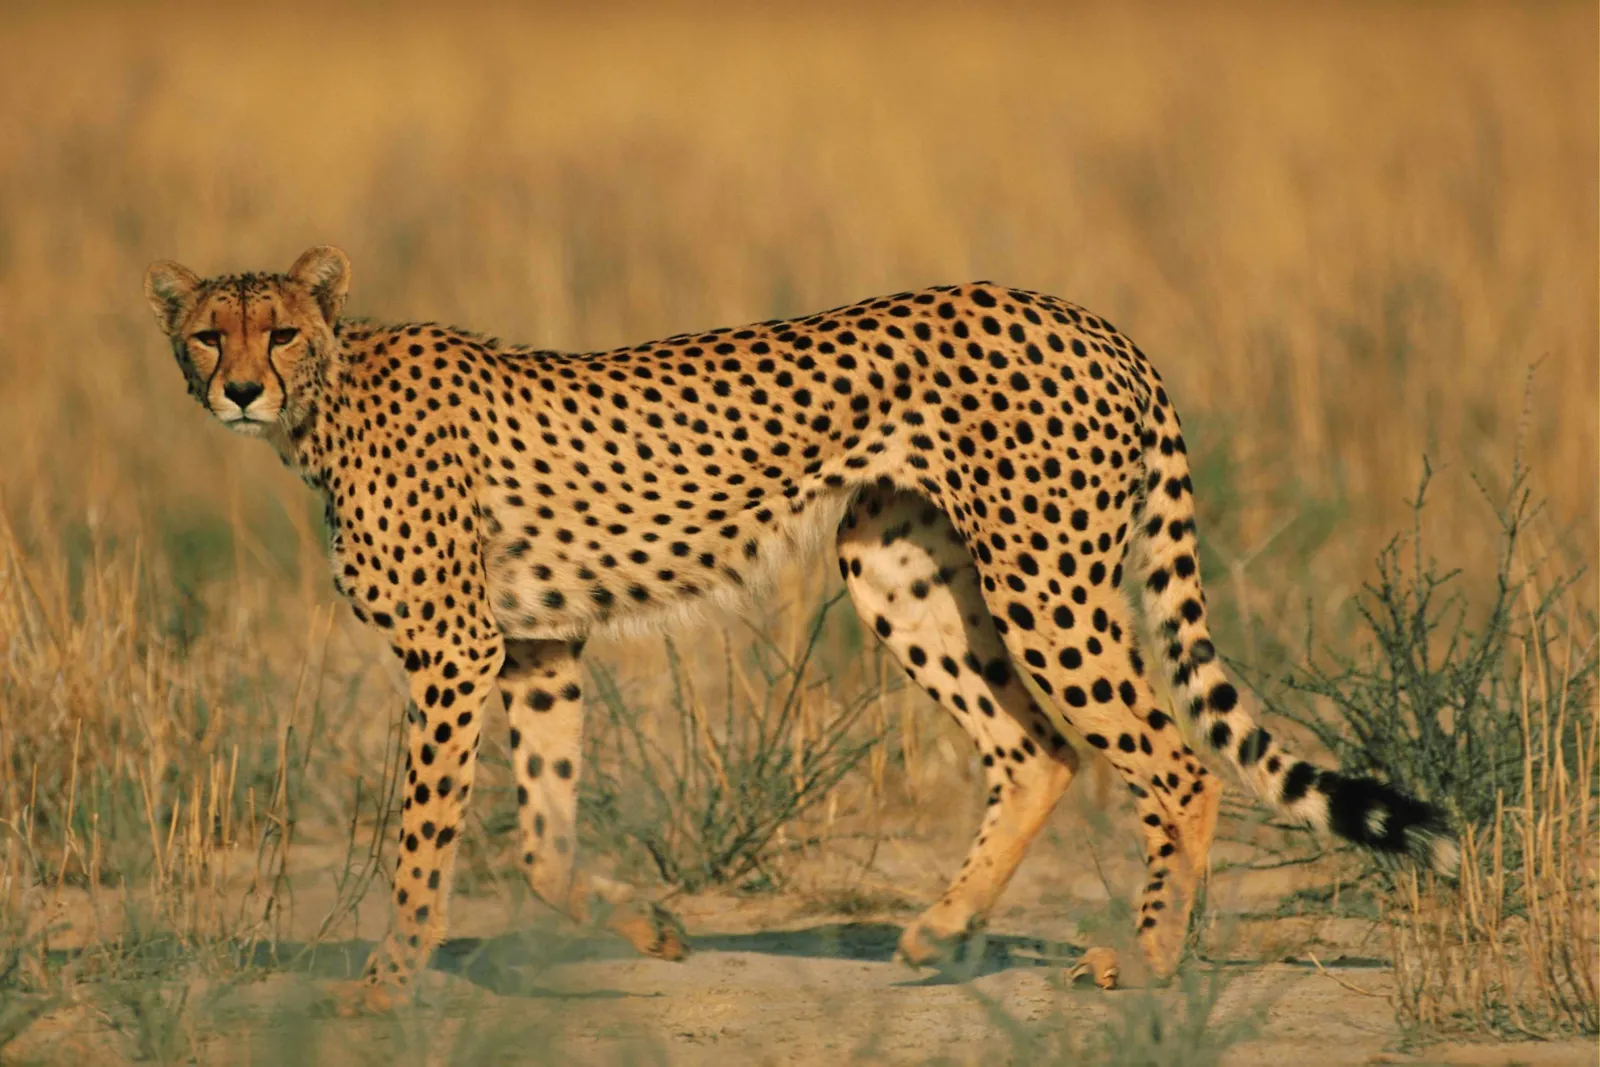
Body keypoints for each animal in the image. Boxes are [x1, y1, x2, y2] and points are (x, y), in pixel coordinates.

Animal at [143, 245, 1456, 1004]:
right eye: (209, 331)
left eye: (281, 330)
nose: (239, 387)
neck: (327, 397)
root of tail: (1089, 317)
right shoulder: (536, 643)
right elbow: (541, 839)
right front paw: (650, 926)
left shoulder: (453, 651)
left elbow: (424, 834)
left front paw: (385, 978)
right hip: (897, 568)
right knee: (1037, 747)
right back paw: (938, 928)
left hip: (1045, 578)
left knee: (1174, 760)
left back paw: (1142, 958)